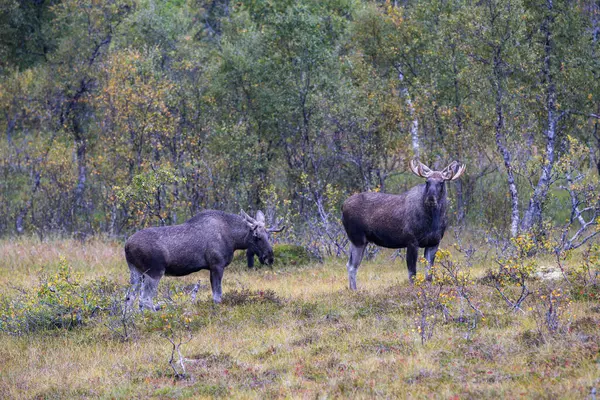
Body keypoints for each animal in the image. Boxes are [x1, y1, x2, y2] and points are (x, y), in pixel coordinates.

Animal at [125, 209, 284, 310]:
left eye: (268, 236)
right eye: (257, 236)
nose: (269, 258)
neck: (234, 240)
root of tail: (126, 246)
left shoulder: (212, 268)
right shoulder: (217, 265)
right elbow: (218, 296)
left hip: (136, 272)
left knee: (130, 298)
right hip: (154, 271)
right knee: (145, 300)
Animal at [342, 158, 464, 290]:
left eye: (441, 182)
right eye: (427, 181)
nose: (431, 198)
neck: (433, 221)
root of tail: (343, 206)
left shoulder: (434, 243)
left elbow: (428, 275)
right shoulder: (412, 241)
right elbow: (412, 274)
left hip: (357, 241)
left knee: (350, 264)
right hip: (358, 239)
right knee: (352, 266)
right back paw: (355, 290)